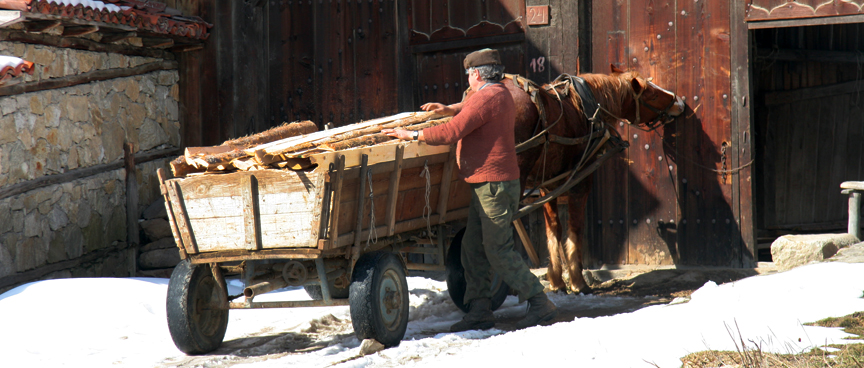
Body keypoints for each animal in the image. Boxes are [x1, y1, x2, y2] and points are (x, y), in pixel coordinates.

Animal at [482, 64, 684, 294]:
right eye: (651, 94)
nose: (679, 103)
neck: (584, 109)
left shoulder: (547, 186)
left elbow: (554, 230)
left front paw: (557, 281)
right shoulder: (579, 182)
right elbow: (575, 229)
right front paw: (578, 281)